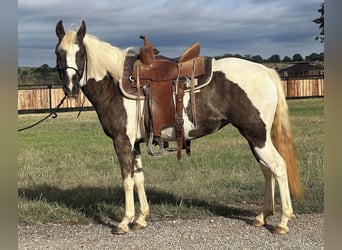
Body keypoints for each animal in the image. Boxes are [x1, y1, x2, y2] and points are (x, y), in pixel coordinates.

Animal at [55, 20, 302, 235]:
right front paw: (141, 219)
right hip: (256, 136)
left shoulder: (122, 141)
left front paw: (125, 222)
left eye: (80, 52)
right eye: (58, 53)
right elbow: (139, 178)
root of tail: (265, 71)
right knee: (267, 170)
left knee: (278, 167)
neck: (113, 83)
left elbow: (127, 180)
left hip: (257, 134)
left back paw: (283, 221)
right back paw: (262, 216)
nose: (70, 88)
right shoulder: (135, 144)